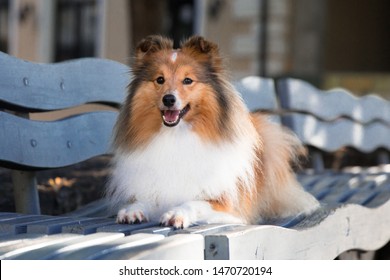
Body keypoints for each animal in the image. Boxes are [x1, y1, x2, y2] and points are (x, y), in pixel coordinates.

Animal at [106, 35, 320, 229]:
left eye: (188, 80)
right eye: (160, 79)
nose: (168, 99)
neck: (177, 135)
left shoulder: (229, 208)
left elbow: (194, 202)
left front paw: (177, 213)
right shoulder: (154, 189)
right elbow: (145, 200)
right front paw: (132, 210)